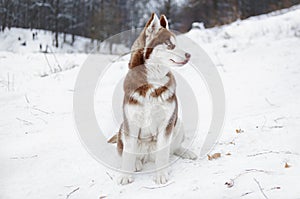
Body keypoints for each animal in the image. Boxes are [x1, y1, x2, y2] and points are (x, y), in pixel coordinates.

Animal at [108, 13, 197, 185]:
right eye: (170, 45)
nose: (189, 55)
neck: (152, 83)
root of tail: (148, 155)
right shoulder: (131, 122)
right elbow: (128, 153)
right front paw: (125, 175)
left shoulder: (167, 122)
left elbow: (163, 154)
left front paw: (161, 174)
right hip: (123, 128)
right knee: (127, 152)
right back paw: (136, 164)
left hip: (178, 123)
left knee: (172, 149)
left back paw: (186, 152)